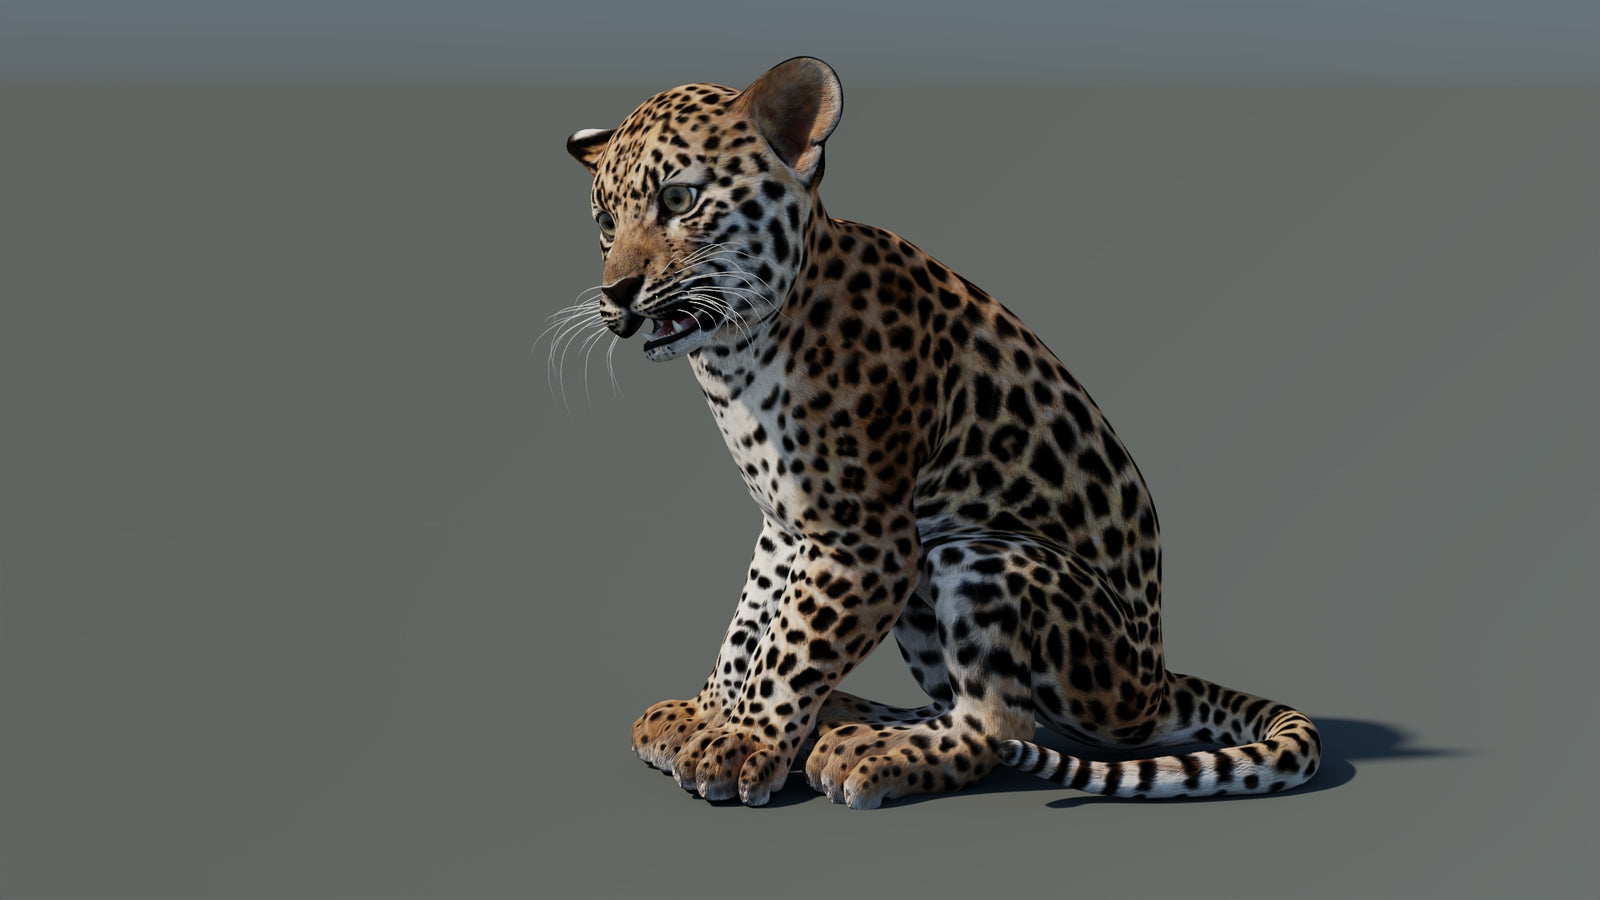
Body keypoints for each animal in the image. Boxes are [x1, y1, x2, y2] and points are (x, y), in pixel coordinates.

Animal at [562, 57, 1321, 809]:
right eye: (604, 220)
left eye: (679, 199)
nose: (616, 293)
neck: (736, 357)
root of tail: (1157, 683)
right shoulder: (786, 528)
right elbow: (750, 623)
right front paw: (707, 714)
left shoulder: (862, 541)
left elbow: (792, 645)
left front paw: (741, 743)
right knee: (960, 702)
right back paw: (848, 718)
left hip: (978, 555)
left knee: (999, 722)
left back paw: (868, 751)